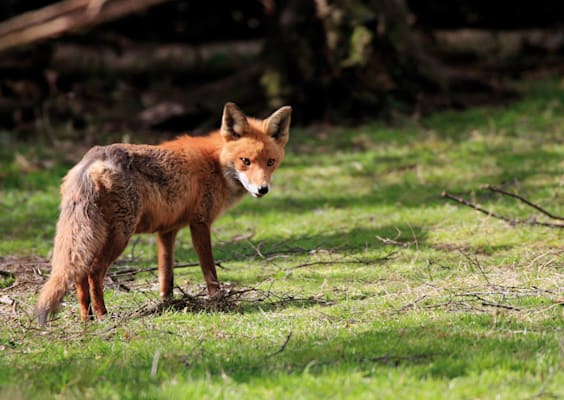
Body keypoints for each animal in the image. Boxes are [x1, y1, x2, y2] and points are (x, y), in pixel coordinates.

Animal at [35, 103, 294, 324]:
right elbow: (209, 270)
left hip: (95, 234)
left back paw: (86, 317)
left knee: (79, 274)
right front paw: (218, 301)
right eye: (245, 161)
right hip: (120, 235)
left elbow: (166, 274)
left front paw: (167, 304)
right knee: (93, 272)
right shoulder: (200, 223)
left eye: (270, 162)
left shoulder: (167, 230)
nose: (262, 189)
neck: (216, 164)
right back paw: (102, 315)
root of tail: (93, 158)